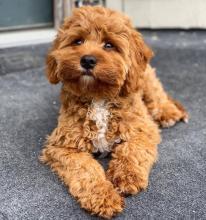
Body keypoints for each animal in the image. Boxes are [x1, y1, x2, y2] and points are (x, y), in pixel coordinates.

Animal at [39, 5, 189, 218]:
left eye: (109, 45)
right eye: (78, 41)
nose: (87, 60)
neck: (98, 97)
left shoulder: (142, 129)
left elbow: (131, 149)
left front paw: (126, 177)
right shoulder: (62, 146)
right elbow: (85, 168)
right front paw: (103, 197)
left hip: (146, 78)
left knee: (158, 95)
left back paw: (168, 112)